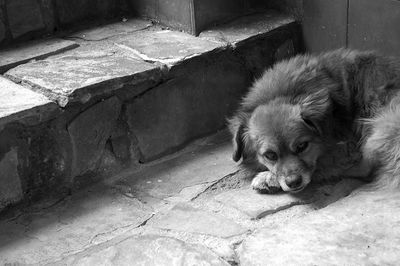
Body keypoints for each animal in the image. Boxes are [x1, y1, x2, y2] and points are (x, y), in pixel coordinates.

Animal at [228, 48, 400, 193]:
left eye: (302, 146)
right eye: (270, 155)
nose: (293, 182)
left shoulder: (346, 148)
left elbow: (321, 165)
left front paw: (268, 177)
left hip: (381, 128)